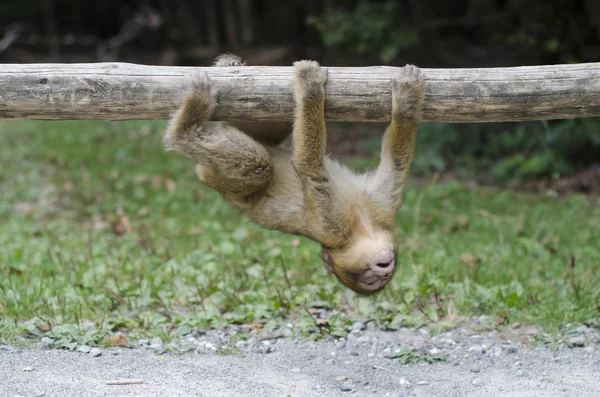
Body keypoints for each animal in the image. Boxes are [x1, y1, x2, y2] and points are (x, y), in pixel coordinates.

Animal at [163, 53, 426, 294]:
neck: (362, 224)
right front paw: (310, 88)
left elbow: (397, 162)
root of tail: (204, 175)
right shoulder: (334, 225)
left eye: (379, 279)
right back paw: (184, 130)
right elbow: (309, 165)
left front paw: (406, 104)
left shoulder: (382, 210)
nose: (386, 269)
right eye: (371, 279)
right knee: (259, 166)